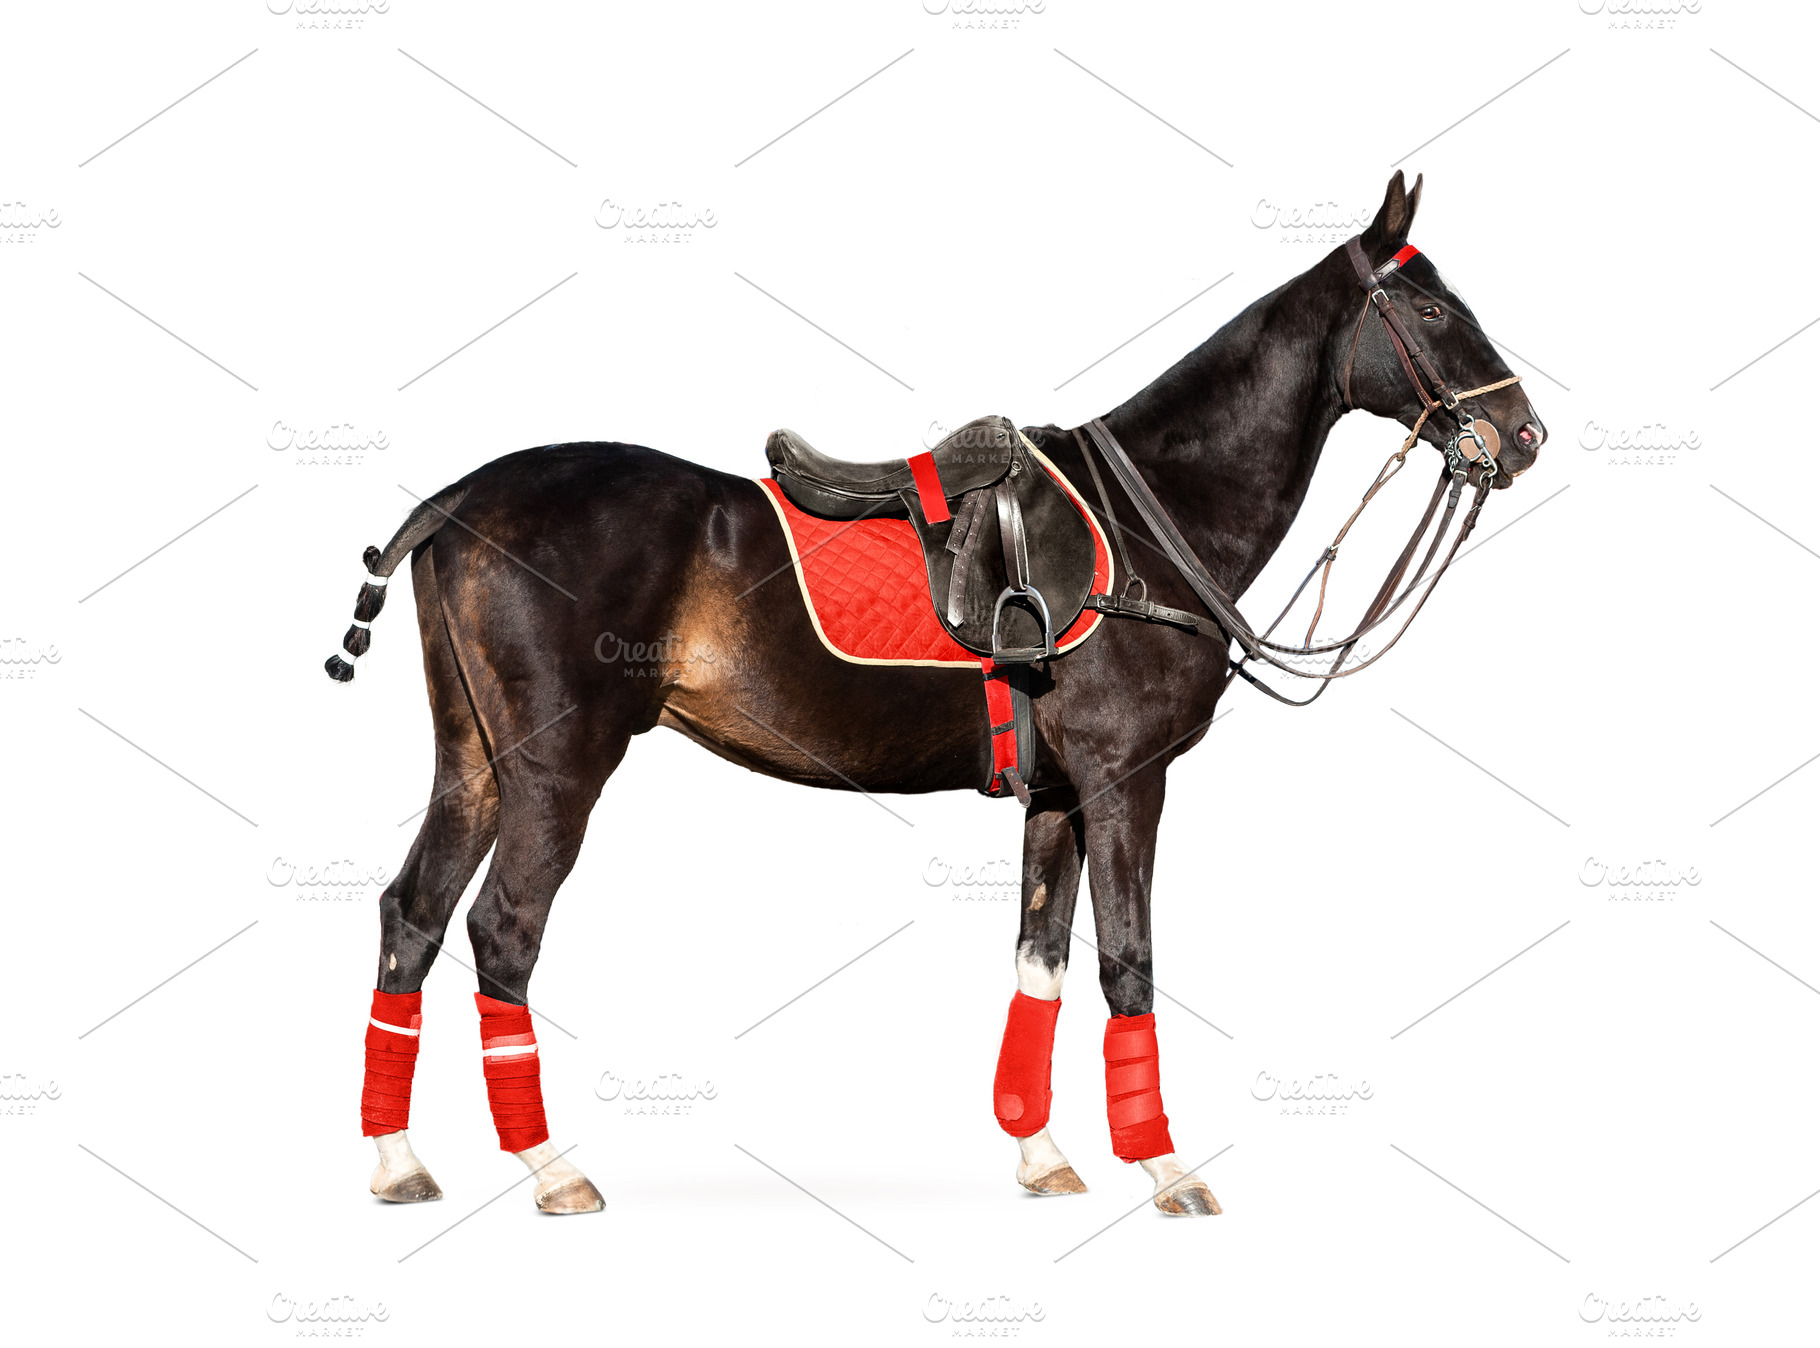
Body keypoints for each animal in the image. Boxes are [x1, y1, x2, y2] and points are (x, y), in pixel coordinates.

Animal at [333, 171, 1545, 1218]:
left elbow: (1040, 961)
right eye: (1430, 309)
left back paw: (398, 1160)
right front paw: (1164, 1169)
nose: (1522, 433)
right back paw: (550, 1168)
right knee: (502, 929)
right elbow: (1128, 963)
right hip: (557, 766)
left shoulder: (1055, 794)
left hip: (475, 761)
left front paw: (1042, 1152)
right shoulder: (1127, 780)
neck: (1145, 524)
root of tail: (456, 499)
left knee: (412, 914)